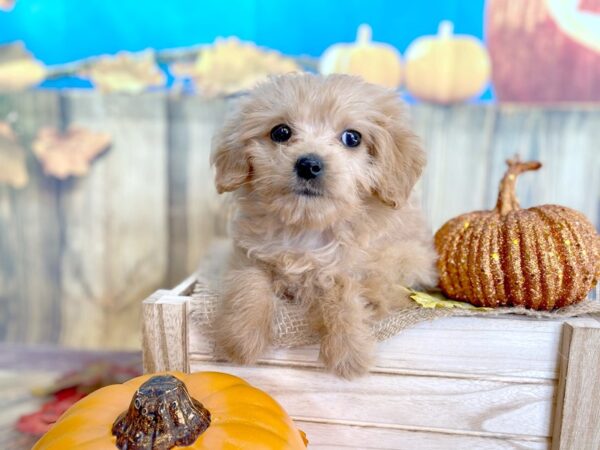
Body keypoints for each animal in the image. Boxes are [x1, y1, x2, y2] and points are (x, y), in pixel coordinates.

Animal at [211, 74, 436, 380]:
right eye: (280, 132)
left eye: (352, 138)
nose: (309, 164)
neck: (308, 227)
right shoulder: (244, 253)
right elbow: (250, 279)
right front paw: (241, 339)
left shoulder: (397, 258)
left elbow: (342, 281)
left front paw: (348, 351)